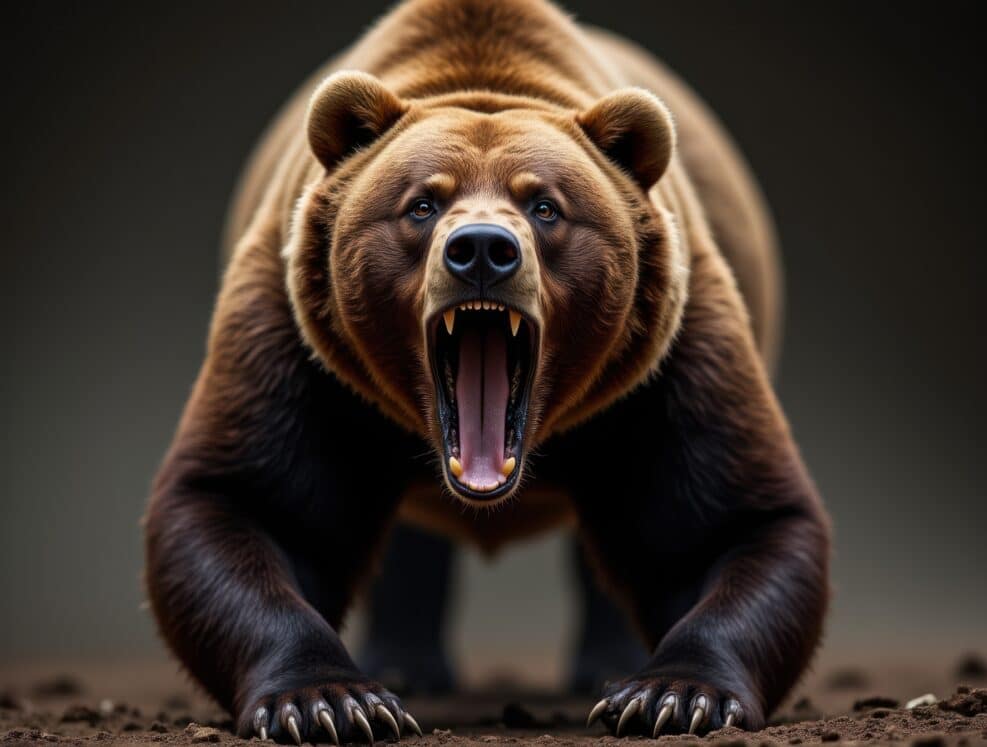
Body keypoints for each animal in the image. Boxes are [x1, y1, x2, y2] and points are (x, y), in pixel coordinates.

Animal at [144, 0, 830, 743]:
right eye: (421, 204)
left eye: (545, 205)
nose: (480, 249)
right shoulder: (303, 351)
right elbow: (248, 502)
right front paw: (331, 701)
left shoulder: (665, 363)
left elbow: (726, 523)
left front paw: (670, 694)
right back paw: (407, 663)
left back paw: (603, 664)